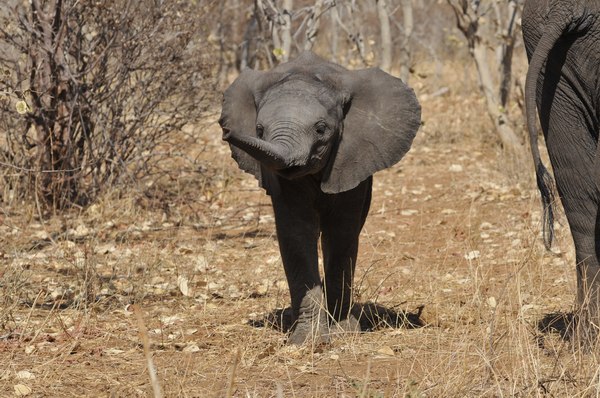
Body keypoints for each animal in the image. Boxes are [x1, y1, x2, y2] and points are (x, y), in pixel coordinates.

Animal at [218, 52, 420, 346]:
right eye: (259, 129)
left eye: (321, 129)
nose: (226, 133)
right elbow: (296, 233)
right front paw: (308, 340)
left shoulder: (350, 156)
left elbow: (340, 233)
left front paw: (342, 332)